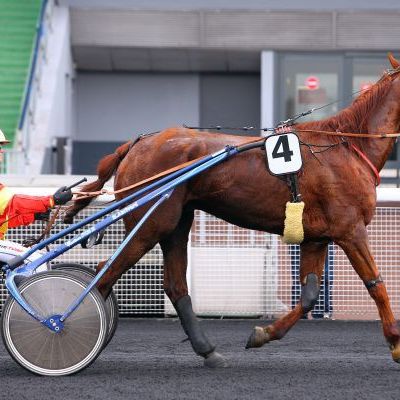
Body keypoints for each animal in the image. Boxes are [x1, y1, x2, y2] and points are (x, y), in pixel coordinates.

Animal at [66, 54, 400, 368]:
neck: (345, 147)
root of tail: (137, 144)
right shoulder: (350, 230)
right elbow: (376, 284)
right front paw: (395, 342)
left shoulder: (316, 238)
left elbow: (309, 296)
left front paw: (263, 334)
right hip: (150, 223)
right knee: (104, 275)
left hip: (176, 224)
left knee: (175, 286)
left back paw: (208, 351)